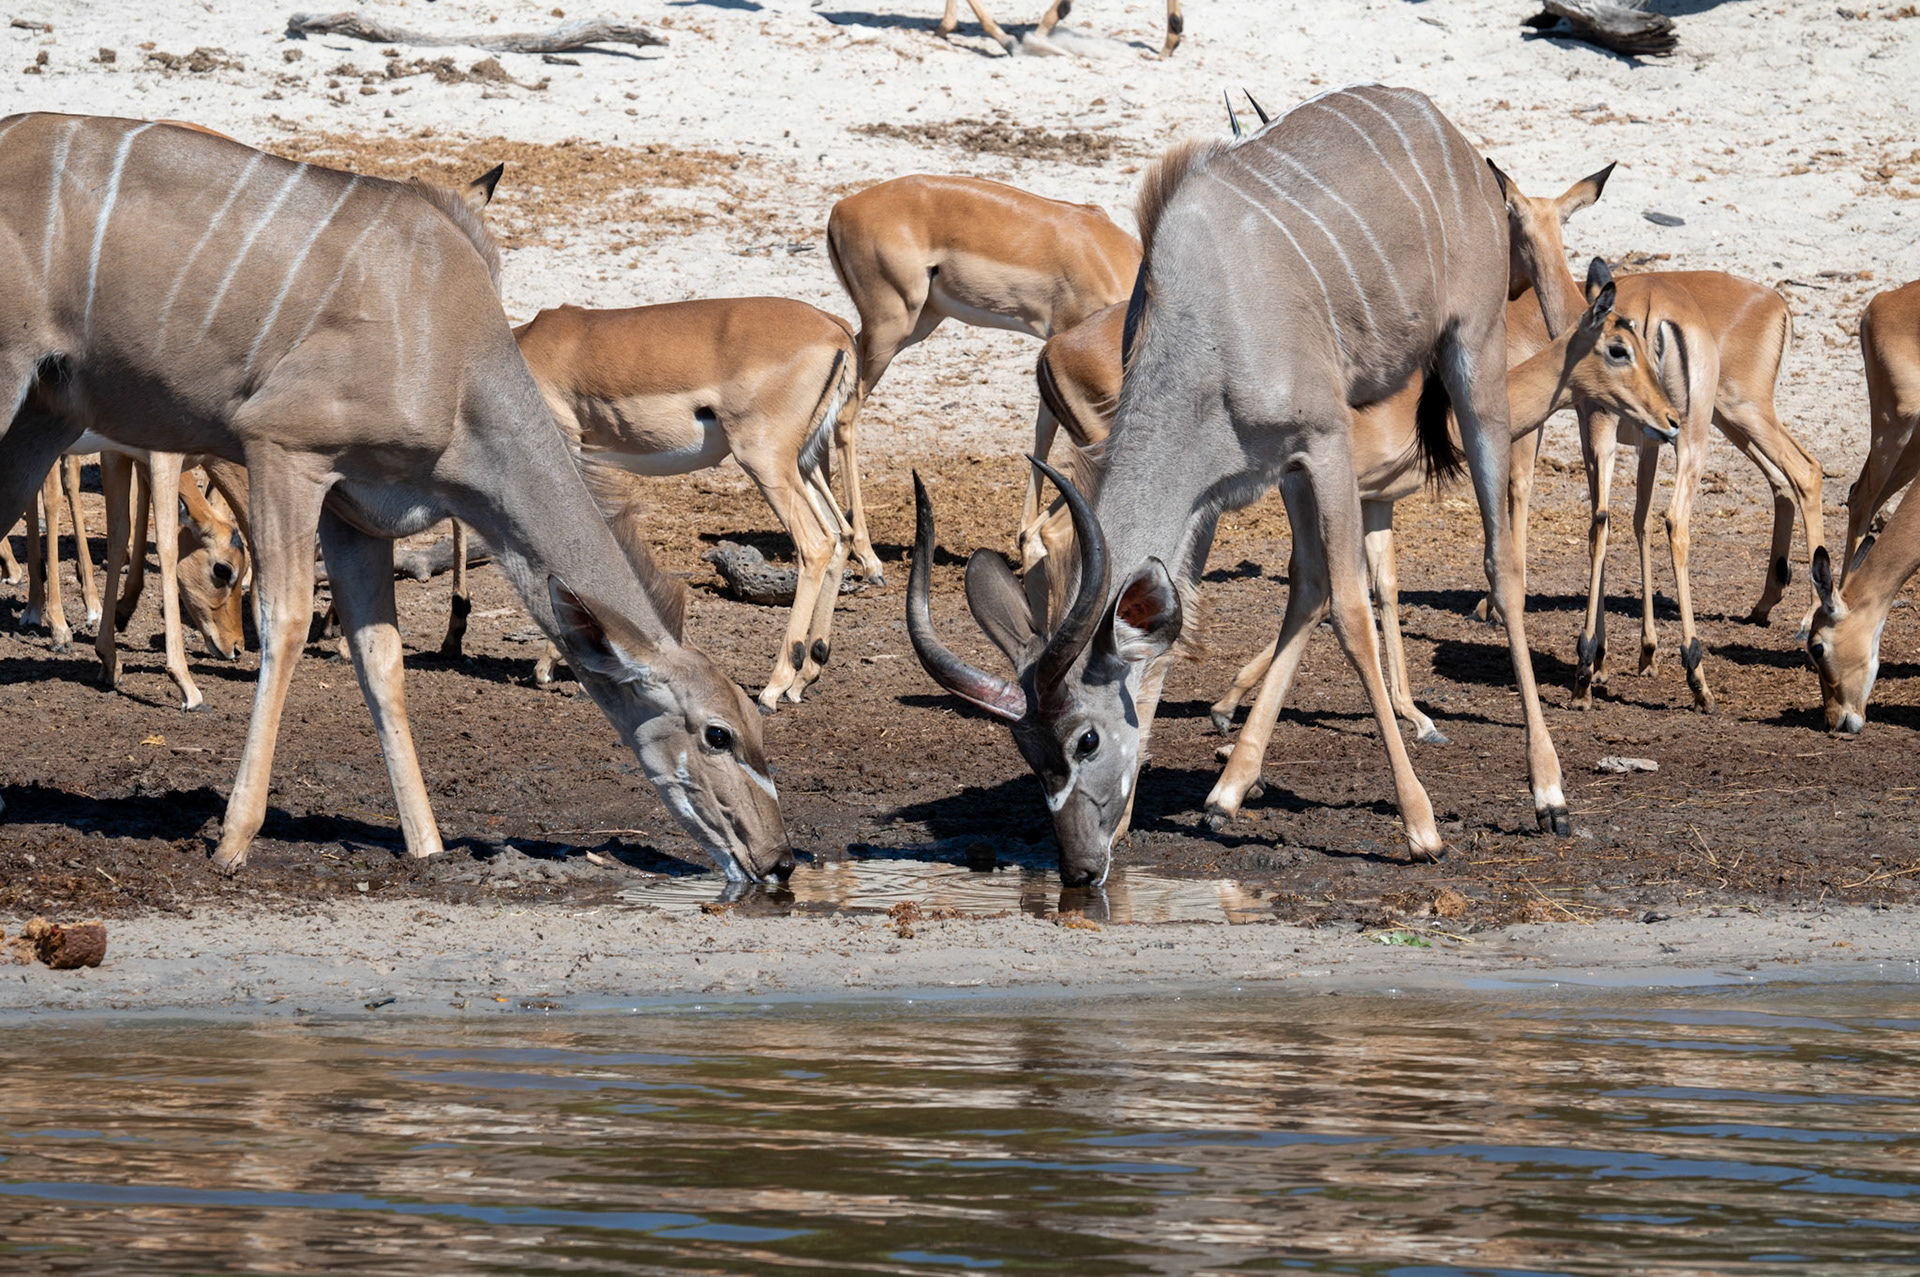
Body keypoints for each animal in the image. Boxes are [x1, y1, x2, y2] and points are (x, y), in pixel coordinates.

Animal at [0, 114, 791, 881]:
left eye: (756, 729)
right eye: (717, 734)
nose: (779, 858)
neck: (452, 353)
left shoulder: (357, 513)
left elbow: (381, 658)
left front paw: (427, 844)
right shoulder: (283, 449)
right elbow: (287, 620)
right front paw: (233, 839)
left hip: (45, 416)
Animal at [511, 297, 859, 709]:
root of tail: (835, 327)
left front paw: (556, 668)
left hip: (766, 462)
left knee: (816, 544)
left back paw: (774, 686)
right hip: (805, 463)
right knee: (842, 534)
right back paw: (804, 677)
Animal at [825, 173, 1142, 584]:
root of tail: (840, 209)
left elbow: (1043, 433)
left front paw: (1027, 543)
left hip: (917, 323)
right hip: (892, 328)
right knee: (846, 416)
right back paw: (869, 559)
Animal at [909, 87, 1571, 885]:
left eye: (1085, 741)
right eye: (1026, 753)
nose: (1080, 867)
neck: (1209, 323)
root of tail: (1449, 134)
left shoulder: (1326, 442)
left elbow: (1353, 611)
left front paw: (1421, 825)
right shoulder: (1226, 488)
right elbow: (1179, 630)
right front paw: (1138, 819)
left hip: (1471, 354)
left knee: (1500, 562)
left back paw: (1549, 793)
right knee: (1308, 583)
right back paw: (1227, 790)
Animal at [1494, 168, 1827, 712]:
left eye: (1508, 223)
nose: (1509, 286)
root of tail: (1778, 302)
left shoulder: (1597, 428)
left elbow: (1611, 518)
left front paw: (1605, 658)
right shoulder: (1650, 439)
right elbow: (1640, 521)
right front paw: (1641, 652)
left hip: (1727, 418)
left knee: (1802, 473)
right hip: (1705, 428)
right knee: (1709, 509)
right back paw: (1717, 651)